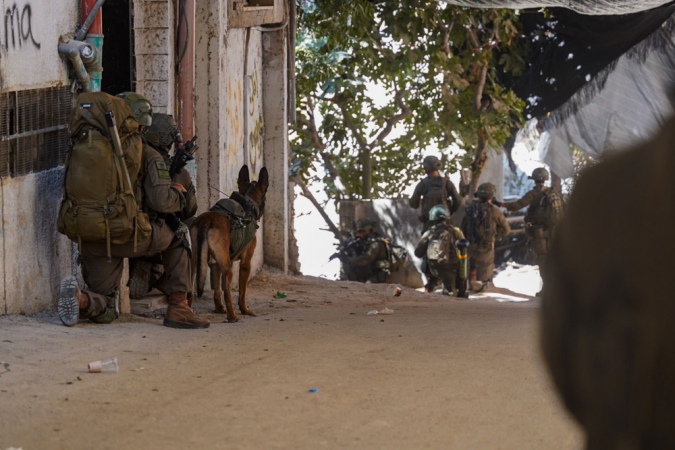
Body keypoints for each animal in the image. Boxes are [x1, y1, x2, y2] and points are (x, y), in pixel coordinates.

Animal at [190, 167, 270, 322]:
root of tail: (207, 220)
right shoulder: (245, 264)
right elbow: (242, 292)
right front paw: (245, 310)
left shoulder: (215, 265)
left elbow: (216, 290)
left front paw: (219, 309)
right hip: (228, 269)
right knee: (227, 291)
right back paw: (232, 316)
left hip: (196, 264)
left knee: (190, 290)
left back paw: (188, 311)